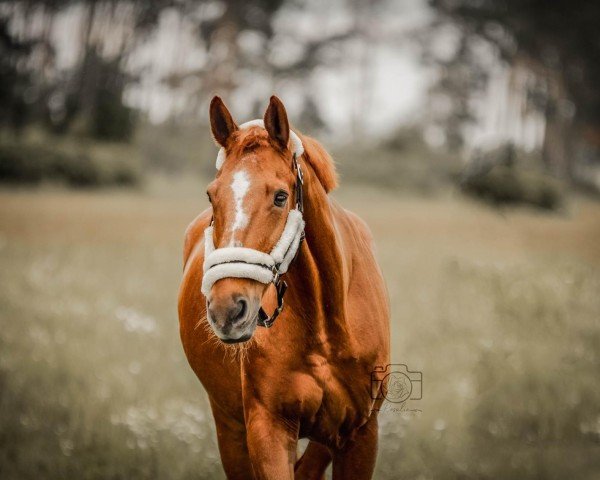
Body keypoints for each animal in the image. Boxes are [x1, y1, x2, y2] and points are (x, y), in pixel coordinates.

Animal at [178, 95, 392, 478]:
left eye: (280, 197)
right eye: (211, 196)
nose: (227, 309)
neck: (327, 327)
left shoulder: (361, 435)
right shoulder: (269, 429)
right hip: (230, 428)